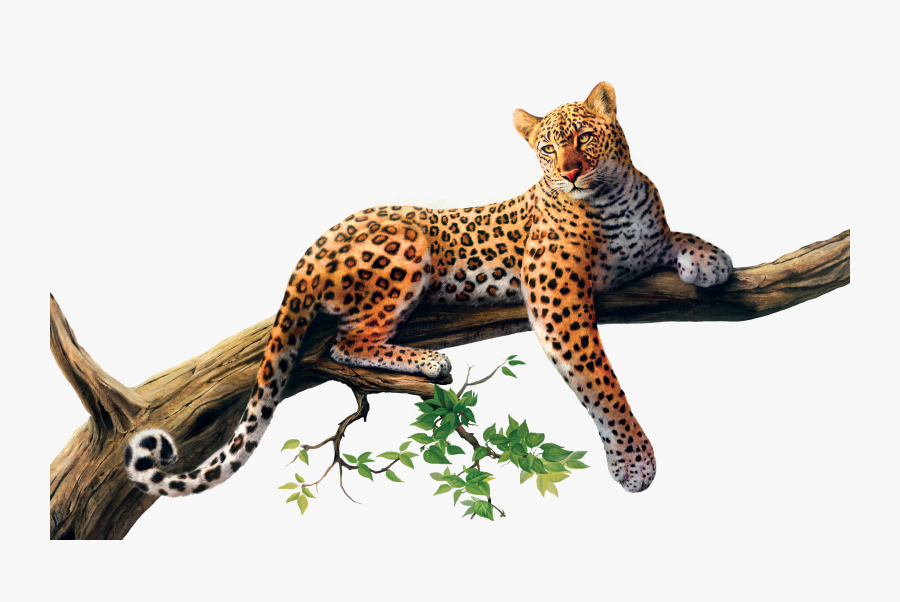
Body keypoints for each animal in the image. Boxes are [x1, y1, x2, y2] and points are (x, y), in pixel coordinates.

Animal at [125, 81, 732, 498]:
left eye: (583, 136)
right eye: (545, 149)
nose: (570, 172)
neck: (612, 197)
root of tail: (314, 245)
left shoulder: (642, 245)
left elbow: (674, 235)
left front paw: (711, 259)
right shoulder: (557, 297)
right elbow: (601, 381)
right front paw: (633, 460)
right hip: (407, 246)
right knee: (347, 341)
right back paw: (429, 362)